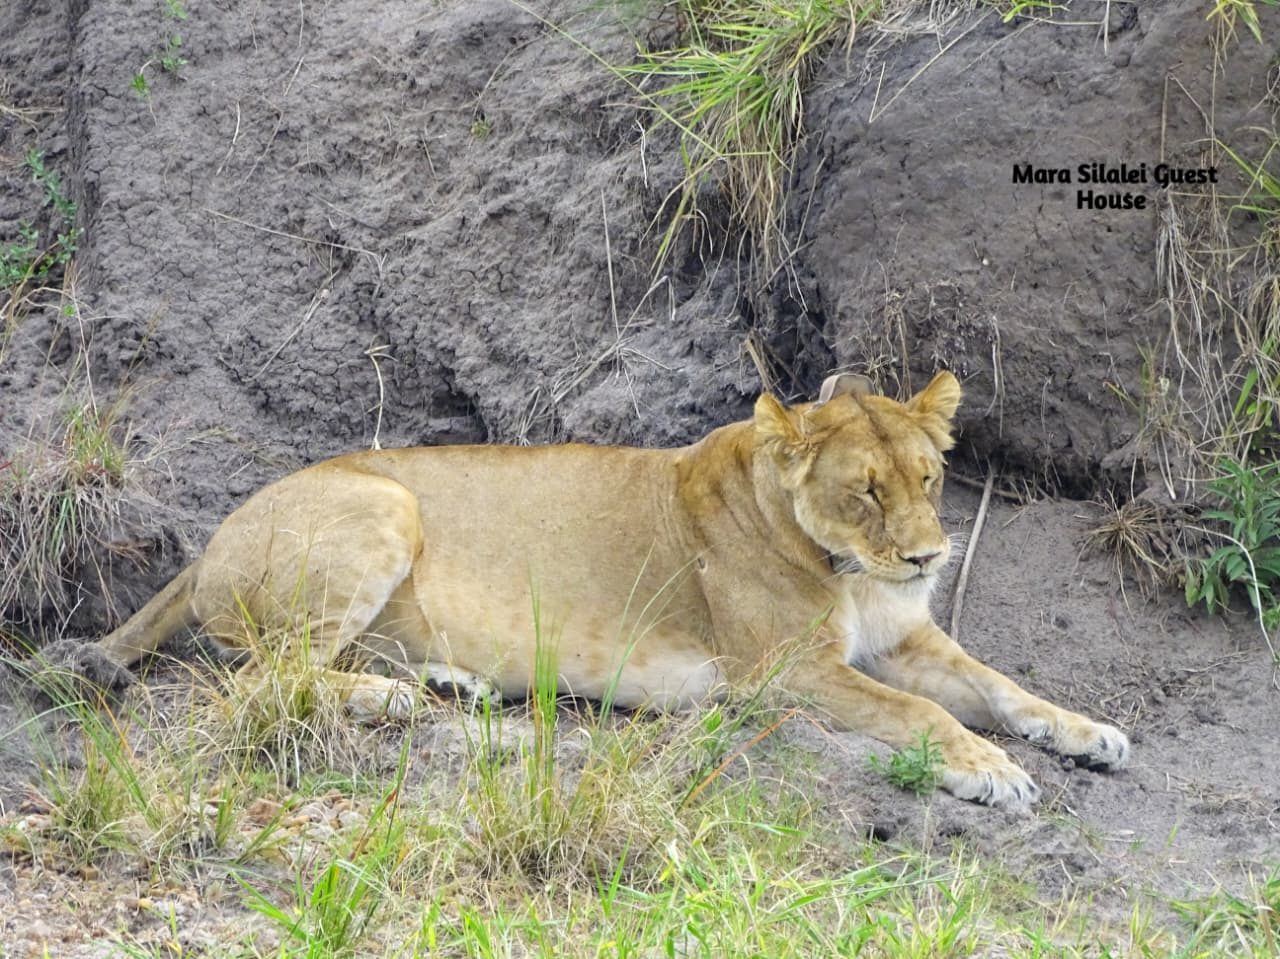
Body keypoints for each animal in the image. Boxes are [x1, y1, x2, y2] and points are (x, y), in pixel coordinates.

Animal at [63, 371, 1128, 807]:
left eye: (927, 476)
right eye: (864, 490)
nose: (930, 558)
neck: (849, 568)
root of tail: (208, 538)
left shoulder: (907, 638)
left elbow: (1001, 687)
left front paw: (1087, 732)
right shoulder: (783, 674)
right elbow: (921, 716)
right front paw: (990, 770)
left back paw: (450, 684)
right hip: (385, 504)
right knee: (258, 683)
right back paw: (394, 699)